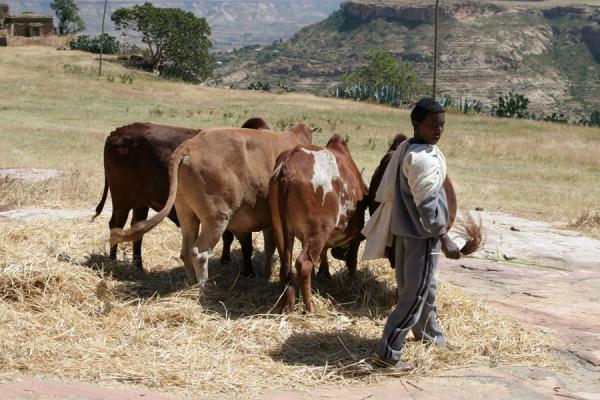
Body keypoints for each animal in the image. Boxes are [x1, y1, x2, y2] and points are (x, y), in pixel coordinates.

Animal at [91, 118, 270, 276]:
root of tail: (118, 132)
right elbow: (245, 244)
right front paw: (248, 272)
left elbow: (229, 237)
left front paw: (226, 261)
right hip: (123, 199)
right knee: (116, 225)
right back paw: (113, 262)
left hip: (140, 203)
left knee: (137, 229)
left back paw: (138, 266)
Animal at [109, 122, 314, 288]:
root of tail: (190, 146)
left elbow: (269, 246)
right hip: (216, 218)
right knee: (199, 253)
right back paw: (204, 286)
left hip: (186, 213)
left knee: (185, 251)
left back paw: (191, 282)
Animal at [270, 134, 368, 312]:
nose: (338, 253)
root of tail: (288, 164)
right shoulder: (356, 235)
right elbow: (352, 261)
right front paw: (352, 283)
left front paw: (324, 273)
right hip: (319, 231)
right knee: (304, 264)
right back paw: (311, 307)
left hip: (280, 229)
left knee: (285, 265)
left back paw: (287, 306)